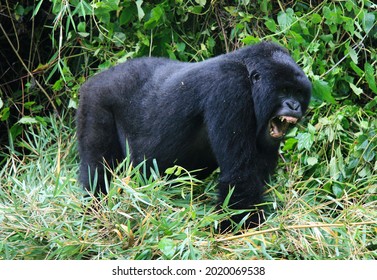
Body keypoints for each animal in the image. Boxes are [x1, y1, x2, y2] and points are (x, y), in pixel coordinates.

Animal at [77, 41, 312, 230]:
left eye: (299, 93)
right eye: (284, 90)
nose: (294, 106)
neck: (247, 71)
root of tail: (95, 78)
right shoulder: (231, 89)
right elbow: (240, 176)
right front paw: (243, 230)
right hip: (96, 99)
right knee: (97, 170)